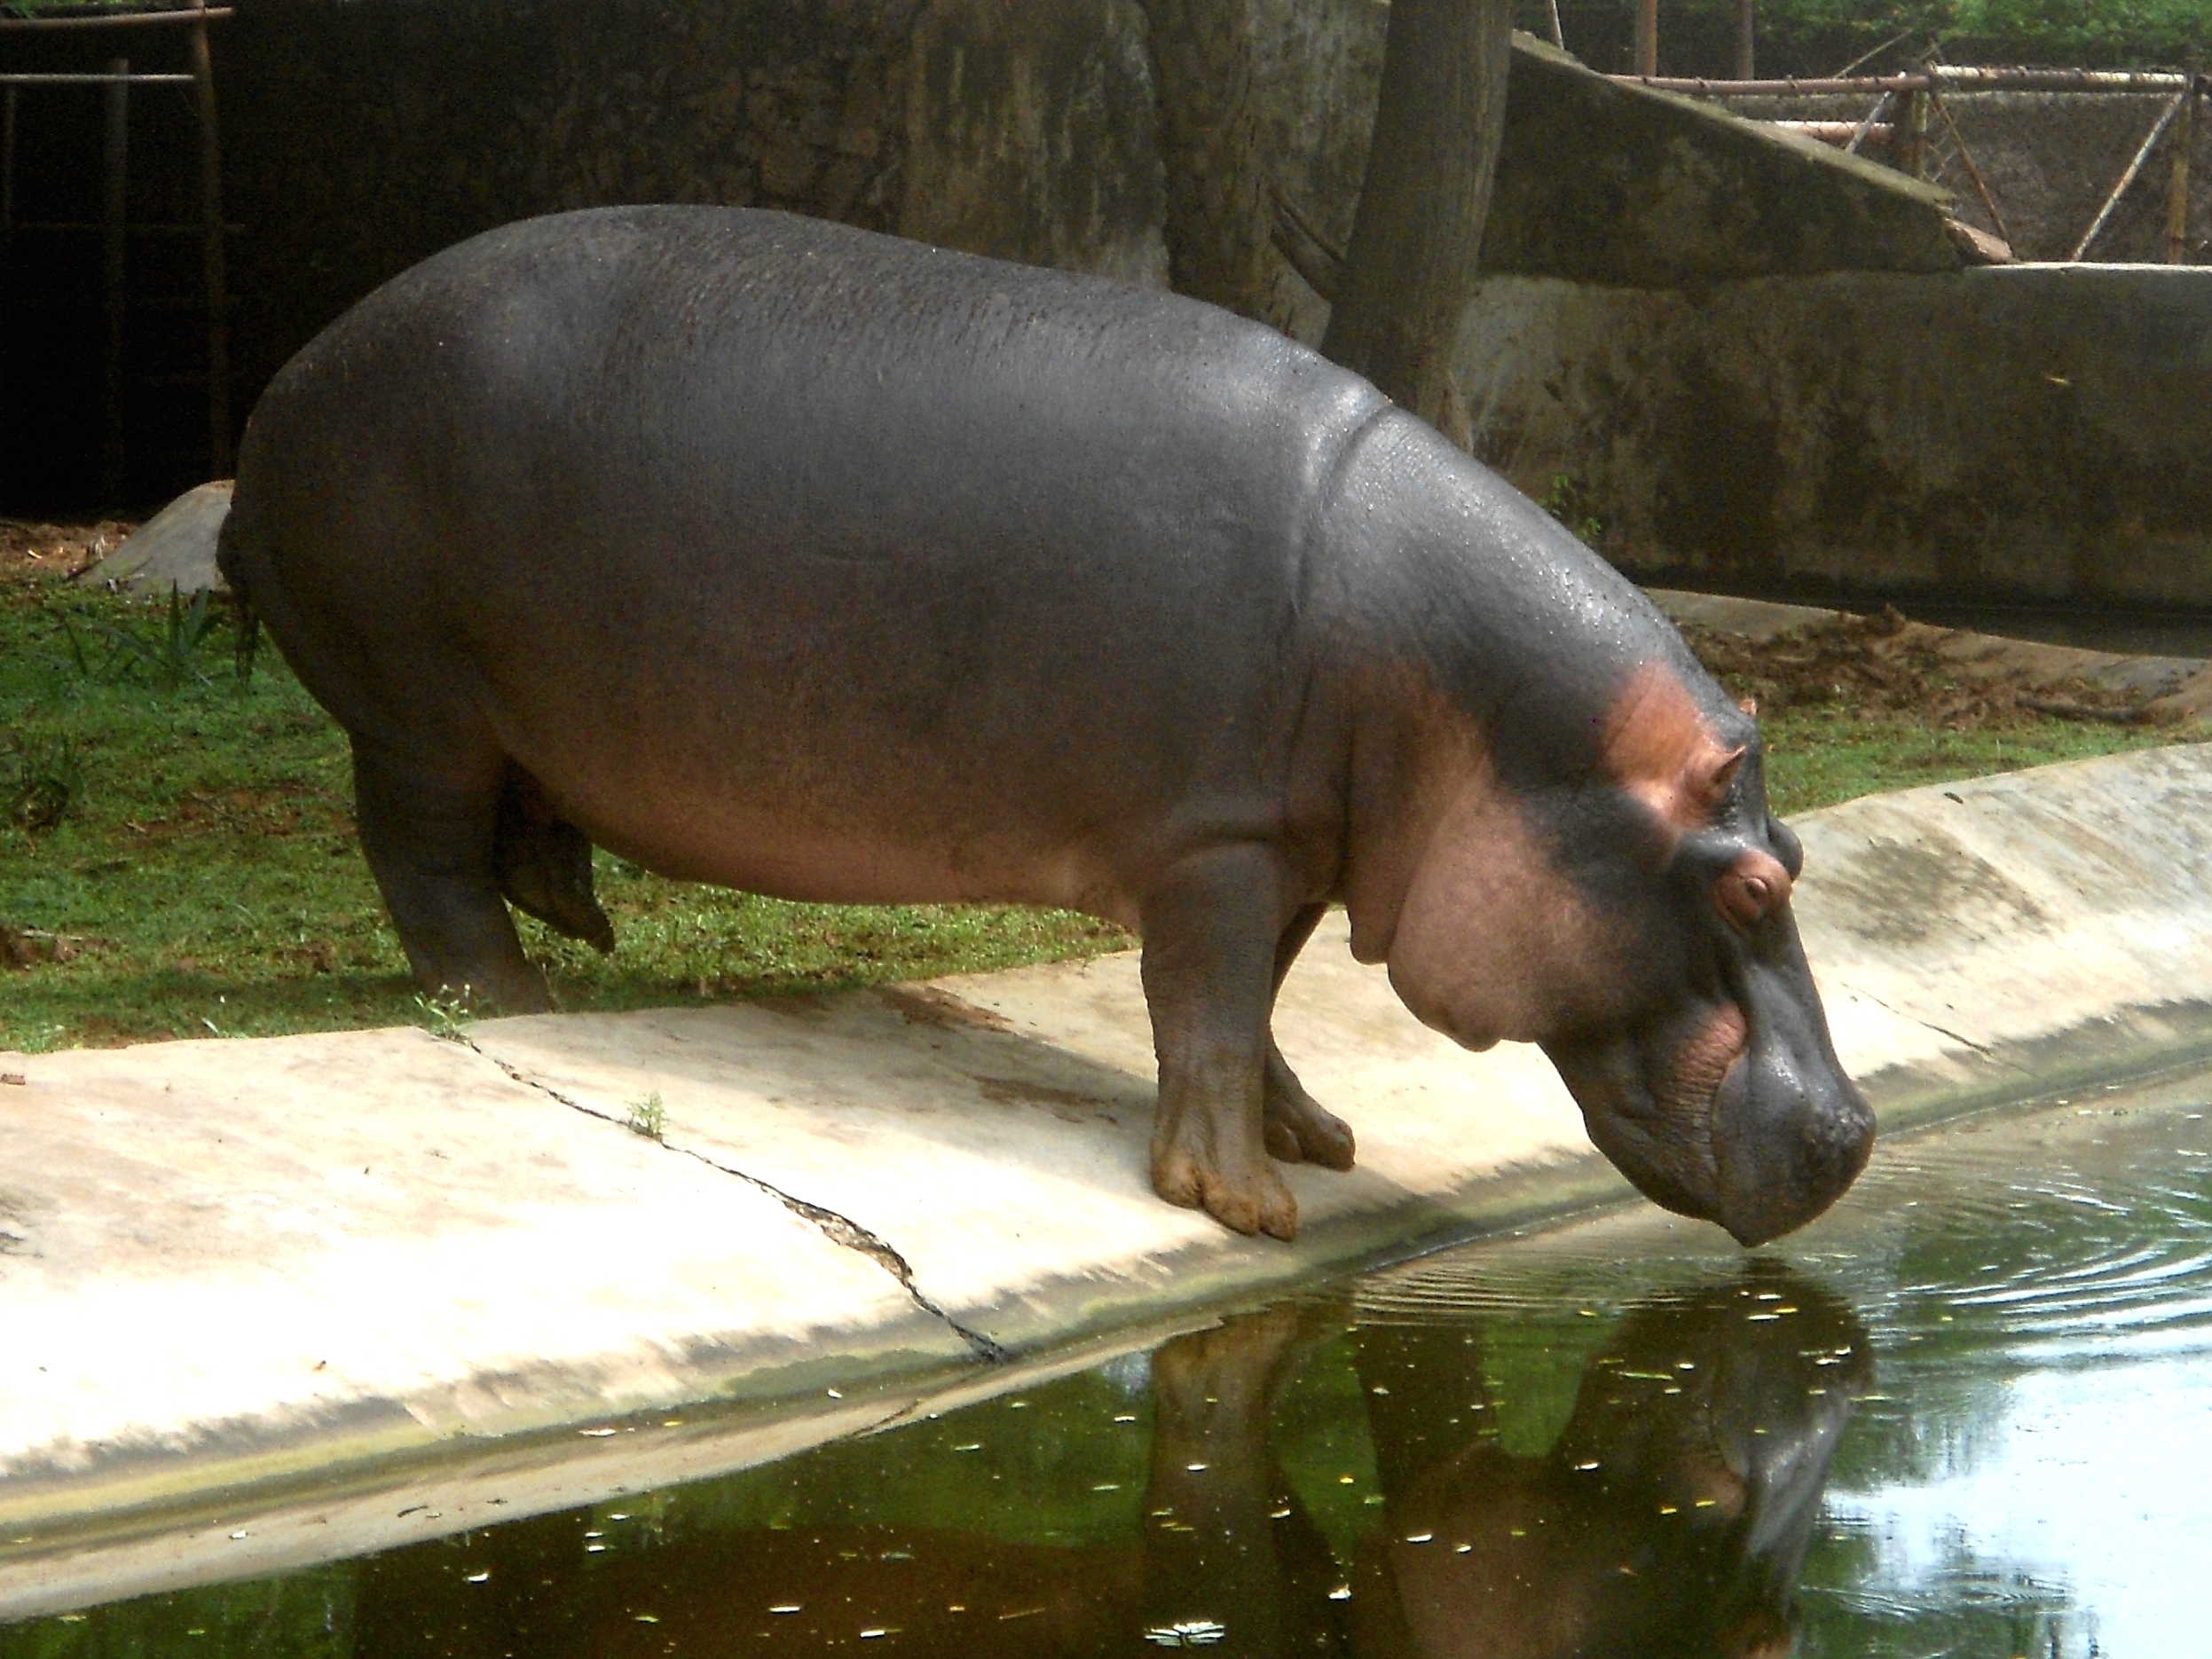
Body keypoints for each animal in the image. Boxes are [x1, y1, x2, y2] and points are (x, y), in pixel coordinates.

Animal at [219, 205, 1872, 1245]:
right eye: (1751, 885)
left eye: (1793, 855)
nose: (1854, 1134)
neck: (1477, 702)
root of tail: (281, 389)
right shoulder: (1217, 844)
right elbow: (1206, 1008)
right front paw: (1243, 1204)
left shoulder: (1280, 842)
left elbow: (1254, 1008)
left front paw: (1313, 1137)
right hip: (419, 703)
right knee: (422, 857)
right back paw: (514, 1000)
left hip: (486, 713)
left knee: (502, 831)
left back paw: (570, 927)